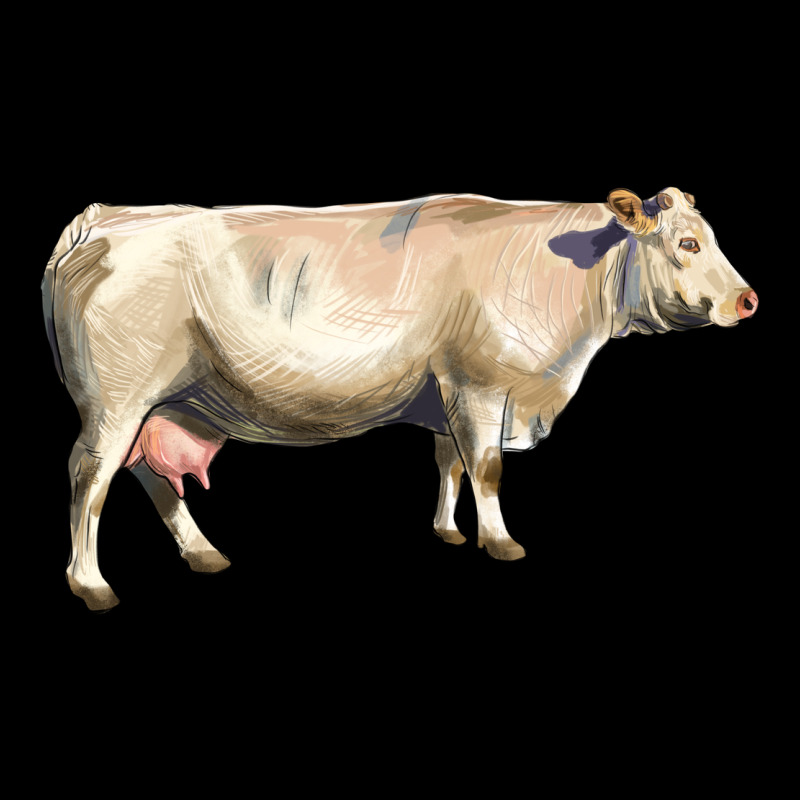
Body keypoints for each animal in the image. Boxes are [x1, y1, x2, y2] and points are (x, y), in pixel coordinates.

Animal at [42, 188, 758, 610]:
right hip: (117, 397)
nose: (749, 299)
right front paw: (500, 543)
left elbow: (449, 463)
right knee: (91, 476)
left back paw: (202, 553)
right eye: (687, 242)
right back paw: (92, 583)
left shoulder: (447, 391)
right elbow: (487, 469)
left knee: (148, 476)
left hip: (156, 404)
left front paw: (447, 530)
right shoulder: (481, 384)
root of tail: (104, 217)